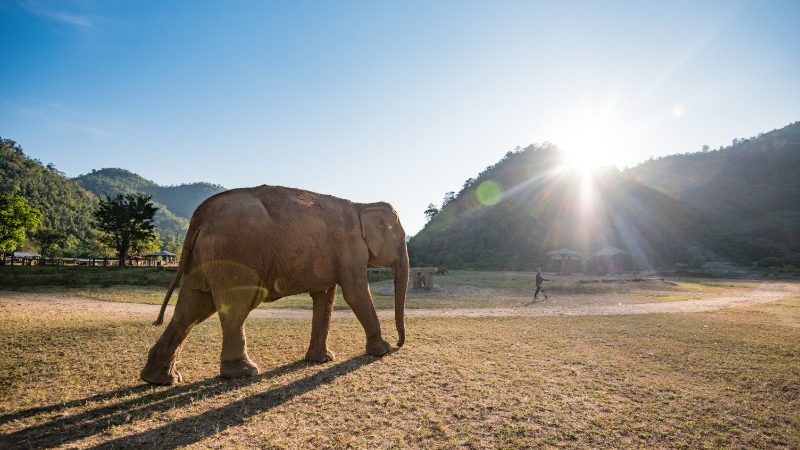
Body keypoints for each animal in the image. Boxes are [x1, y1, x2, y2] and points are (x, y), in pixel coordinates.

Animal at [138, 185, 410, 384]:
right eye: (402, 238)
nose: (399, 344)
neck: (362, 204)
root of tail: (203, 213)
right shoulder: (350, 249)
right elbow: (356, 293)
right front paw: (382, 351)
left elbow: (325, 296)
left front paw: (322, 360)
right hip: (234, 254)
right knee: (235, 307)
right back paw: (244, 372)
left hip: (204, 257)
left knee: (192, 308)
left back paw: (160, 379)